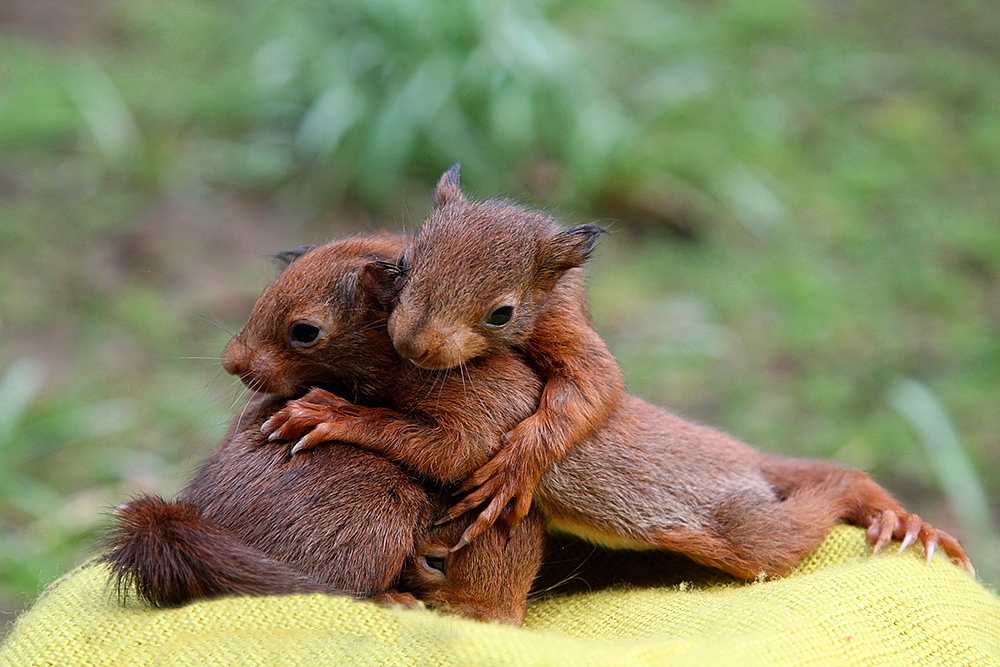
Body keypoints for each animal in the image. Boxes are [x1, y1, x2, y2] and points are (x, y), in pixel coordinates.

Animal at [107, 236, 548, 628]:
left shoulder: (482, 399)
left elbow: (460, 450)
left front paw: (333, 415)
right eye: (433, 561)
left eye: (305, 332)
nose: (231, 363)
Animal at [248, 168, 968, 580]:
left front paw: (332, 413)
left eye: (503, 312)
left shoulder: (526, 372)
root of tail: (744, 456)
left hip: (738, 527)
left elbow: (485, 432)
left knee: (821, 495)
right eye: (403, 269)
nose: (416, 346)